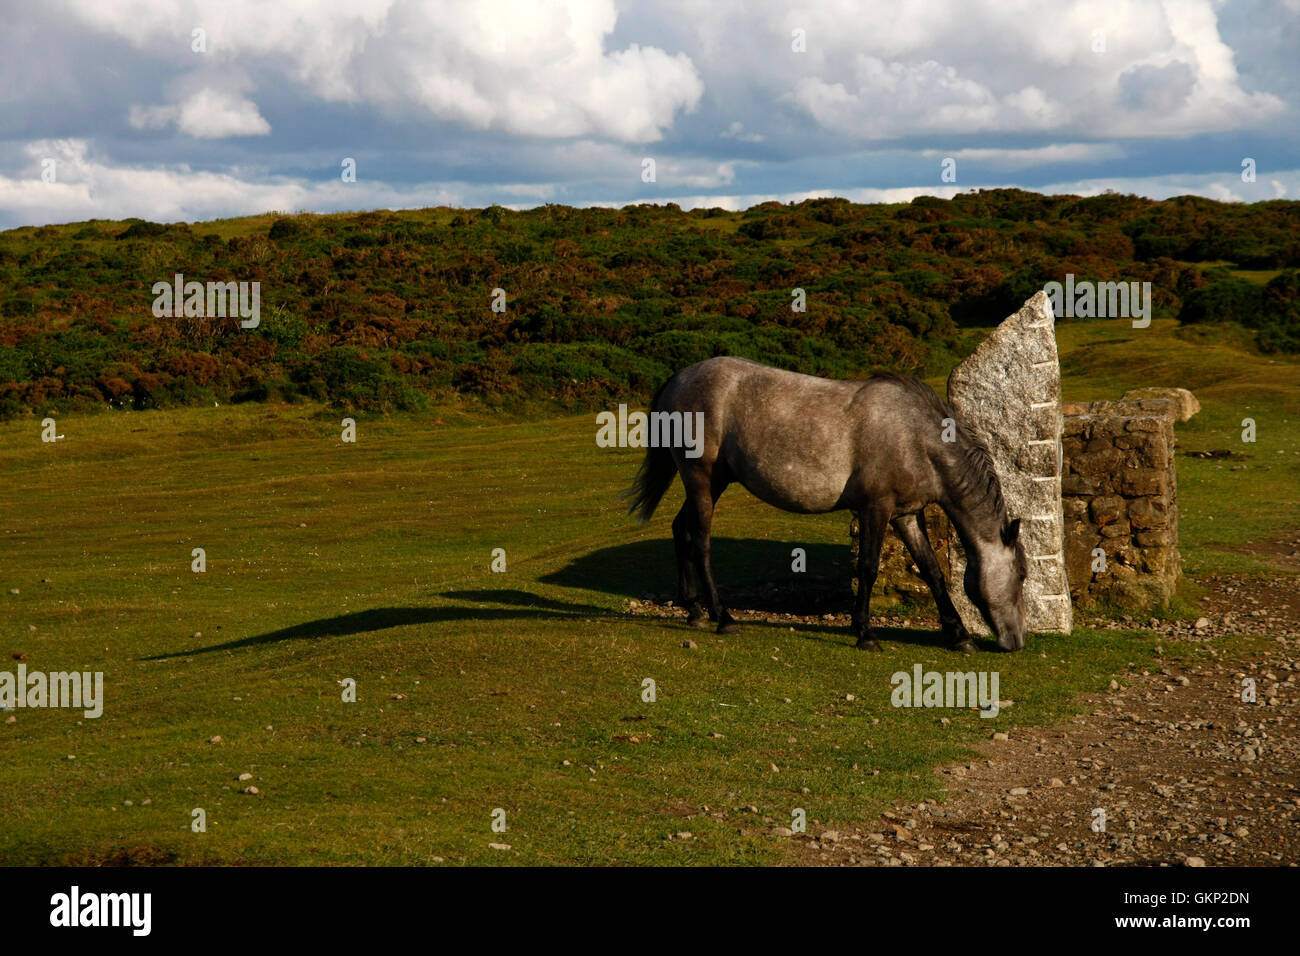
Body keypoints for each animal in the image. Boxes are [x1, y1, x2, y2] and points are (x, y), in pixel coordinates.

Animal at [626, 356, 1024, 655]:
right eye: (1021, 575)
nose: (1016, 641)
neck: (916, 436)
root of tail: (679, 378)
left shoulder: (906, 514)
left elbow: (932, 571)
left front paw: (959, 635)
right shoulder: (875, 508)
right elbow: (868, 568)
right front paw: (865, 633)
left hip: (714, 482)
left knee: (681, 529)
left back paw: (694, 609)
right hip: (700, 478)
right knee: (700, 542)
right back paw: (723, 617)